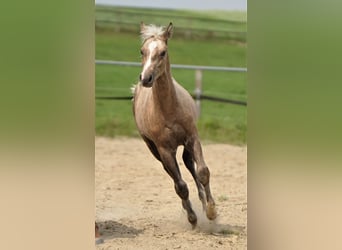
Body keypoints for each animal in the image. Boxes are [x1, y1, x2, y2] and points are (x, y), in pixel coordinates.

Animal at [133, 22, 216, 228]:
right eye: (142, 51)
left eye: (163, 52)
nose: (146, 78)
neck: (169, 110)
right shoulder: (164, 149)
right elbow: (180, 186)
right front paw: (193, 218)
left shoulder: (193, 138)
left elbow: (202, 172)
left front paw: (211, 211)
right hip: (154, 149)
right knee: (173, 174)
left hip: (185, 145)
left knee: (189, 164)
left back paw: (203, 202)